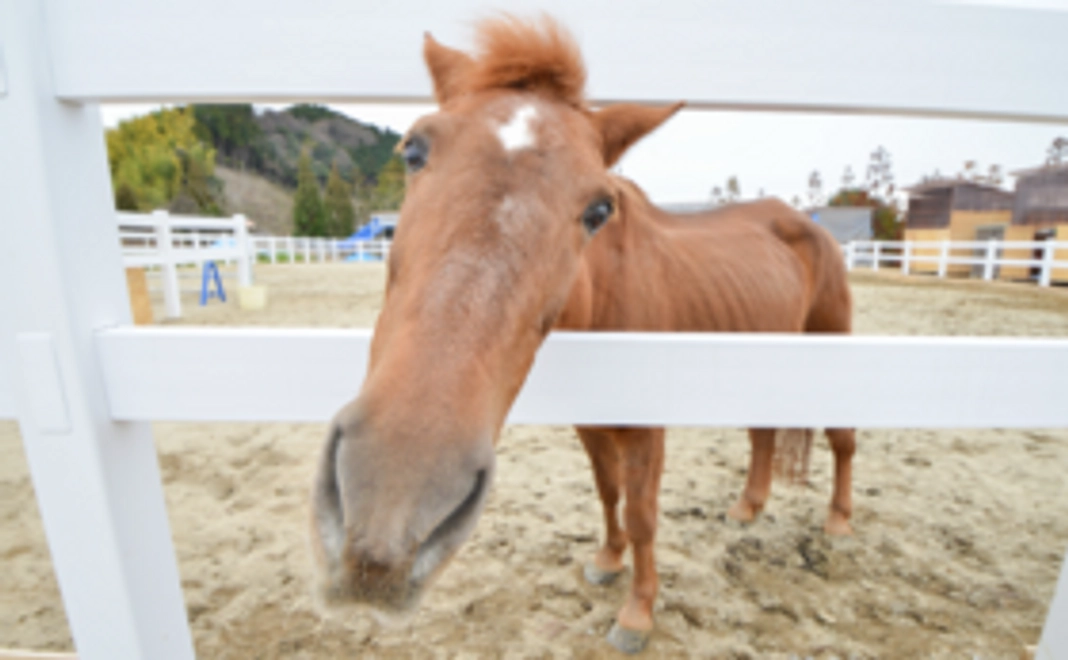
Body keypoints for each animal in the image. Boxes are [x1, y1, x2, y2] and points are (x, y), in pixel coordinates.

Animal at [310, 16, 855, 654]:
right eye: (413, 151)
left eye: (599, 209)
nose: (394, 498)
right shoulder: (592, 424)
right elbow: (607, 492)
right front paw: (607, 561)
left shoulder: (644, 429)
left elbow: (642, 513)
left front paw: (638, 613)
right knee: (762, 434)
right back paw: (748, 506)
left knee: (843, 439)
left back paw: (839, 520)